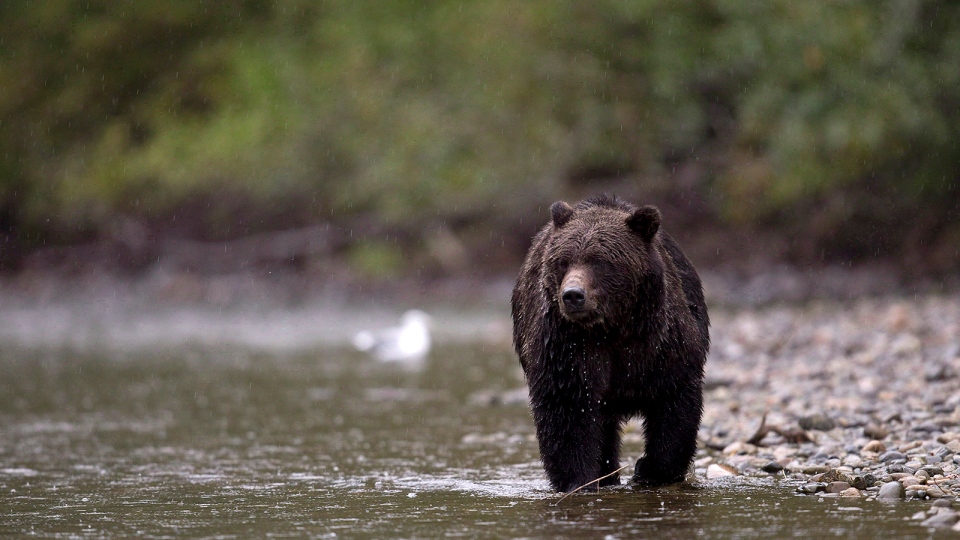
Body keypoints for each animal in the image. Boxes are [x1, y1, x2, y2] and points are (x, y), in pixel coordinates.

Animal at [512, 195, 708, 494]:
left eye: (600, 261)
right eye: (563, 261)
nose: (573, 295)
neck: (612, 328)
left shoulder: (662, 344)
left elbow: (675, 402)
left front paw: (649, 469)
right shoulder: (566, 347)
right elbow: (567, 409)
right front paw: (580, 479)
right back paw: (606, 474)